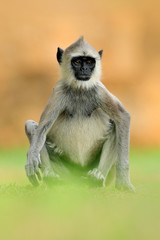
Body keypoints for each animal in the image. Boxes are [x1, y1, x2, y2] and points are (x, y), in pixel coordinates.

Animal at [24, 36, 135, 191]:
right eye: (77, 62)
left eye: (89, 62)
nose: (84, 69)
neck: (80, 89)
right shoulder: (59, 91)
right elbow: (41, 129)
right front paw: (32, 157)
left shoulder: (98, 90)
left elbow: (123, 117)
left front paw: (123, 181)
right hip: (68, 172)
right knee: (31, 126)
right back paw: (51, 177)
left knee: (114, 126)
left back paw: (97, 178)